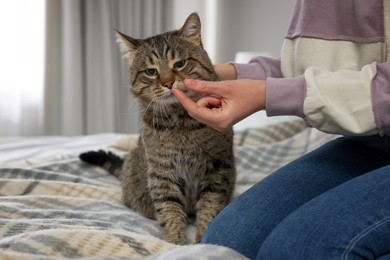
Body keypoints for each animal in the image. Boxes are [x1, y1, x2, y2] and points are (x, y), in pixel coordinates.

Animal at [80, 12, 235, 246]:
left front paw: (202, 240)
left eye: (179, 64)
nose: (169, 83)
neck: (181, 123)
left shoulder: (217, 167)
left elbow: (210, 206)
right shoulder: (162, 172)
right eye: (151, 71)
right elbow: (169, 210)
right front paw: (176, 243)